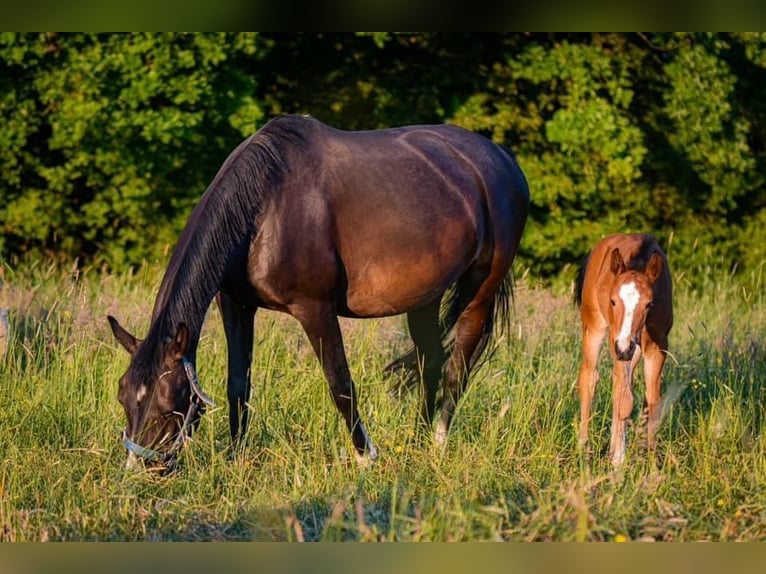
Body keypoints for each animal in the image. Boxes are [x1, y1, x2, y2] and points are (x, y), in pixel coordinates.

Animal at [106, 116, 528, 472]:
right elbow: (238, 386)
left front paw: (365, 458)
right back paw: (416, 440)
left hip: (480, 290)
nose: (140, 470)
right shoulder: (236, 304)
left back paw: (437, 444)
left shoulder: (315, 310)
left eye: (168, 405)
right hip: (424, 298)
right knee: (431, 361)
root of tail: (501, 158)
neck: (266, 205)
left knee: (459, 365)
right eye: (124, 397)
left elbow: (340, 385)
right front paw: (236, 458)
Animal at [572, 234, 676, 468]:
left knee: (617, 383)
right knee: (589, 380)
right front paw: (618, 461)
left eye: (648, 304)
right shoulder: (618, 342)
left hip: (633, 349)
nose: (624, 348)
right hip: (596, 328)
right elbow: (625, 399)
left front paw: (652, 462)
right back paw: (585, 449)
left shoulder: (657, 347)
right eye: (612, 301)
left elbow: (653, 401)